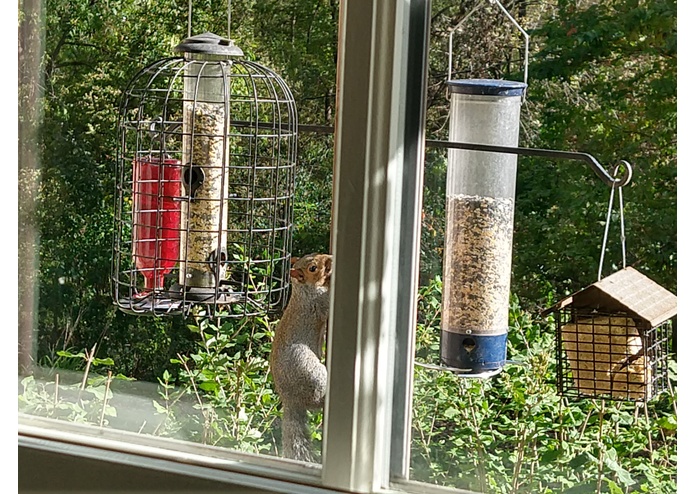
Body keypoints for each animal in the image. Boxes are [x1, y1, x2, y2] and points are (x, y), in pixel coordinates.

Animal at [270, 253, 332, 462]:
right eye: (313, 268)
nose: (330, 258)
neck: (302, 289)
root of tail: (289, 399)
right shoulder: (319, 301)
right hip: (308, 368)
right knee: (316, 400)